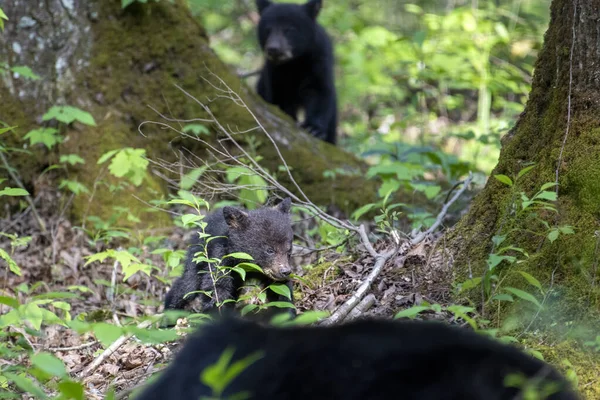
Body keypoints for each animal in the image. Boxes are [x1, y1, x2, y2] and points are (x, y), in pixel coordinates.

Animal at [164, 198, 296, 318]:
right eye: (270, 250)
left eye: (289, 249)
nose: (285, 271)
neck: (247, 265)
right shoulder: (221, 259)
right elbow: (216, 289)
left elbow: (282, 293)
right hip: (197, 259)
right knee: (187, 286)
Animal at [253, 0, 338, 145]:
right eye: (267, 29)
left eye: (289, 30)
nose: (273, 49)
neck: (294, 63)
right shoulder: (274, 72)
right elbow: (278, 95)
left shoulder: (319, 60)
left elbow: (319, 91)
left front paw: (314, 128)